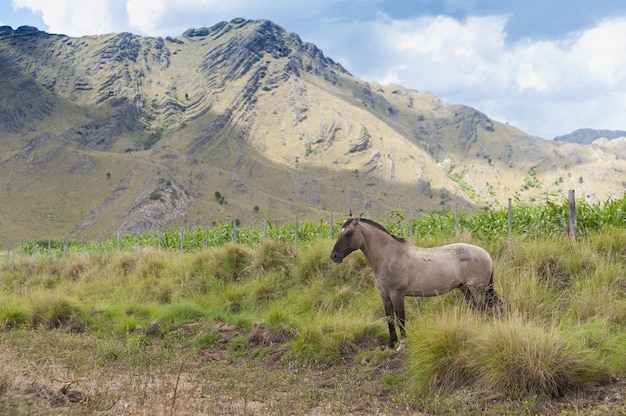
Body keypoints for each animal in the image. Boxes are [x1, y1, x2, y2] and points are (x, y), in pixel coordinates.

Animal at [326, 214, 498, 348]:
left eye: (349, 233)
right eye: (339, 233)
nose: (334, 256)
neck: (390, 256)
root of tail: (486, 255)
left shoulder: (397, 294)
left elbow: (401, 318)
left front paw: (402, 344)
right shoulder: (384, 295)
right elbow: (389, 318)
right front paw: (391, 344)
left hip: (477, 290)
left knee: (481, 310)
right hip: (465, 289)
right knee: (475, 310)